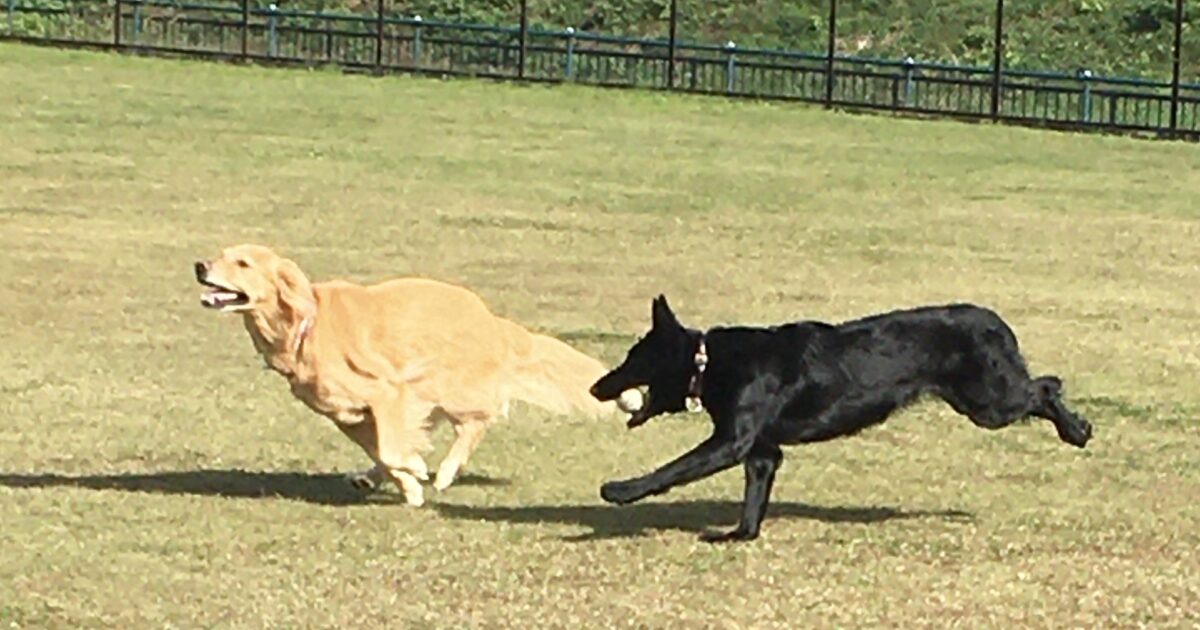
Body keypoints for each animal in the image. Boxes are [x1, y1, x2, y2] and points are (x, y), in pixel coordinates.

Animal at [194, 244, 640, 506]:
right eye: (221, 254)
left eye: (243, 263)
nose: (199, 264)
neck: (305, 323)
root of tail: (489, 319)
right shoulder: (348, 415)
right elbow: (384, 451)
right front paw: (406, 485)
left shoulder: (388, 393)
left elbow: (394, 450)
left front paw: (418, 473)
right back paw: (372, 478)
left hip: (448, 385)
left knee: (477, 423)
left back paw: (443, 472)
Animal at [589, 295, 1093, 542]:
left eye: (632, 358)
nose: (596, 387)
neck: (707, 361)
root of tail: (994, 319)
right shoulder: (762, 451)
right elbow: (755, 492)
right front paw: (741, 535)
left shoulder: (730, 441)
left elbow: (671, 470)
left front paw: (619, 490)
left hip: (990, 402)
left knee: (1047, 386)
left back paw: (1078, 430)